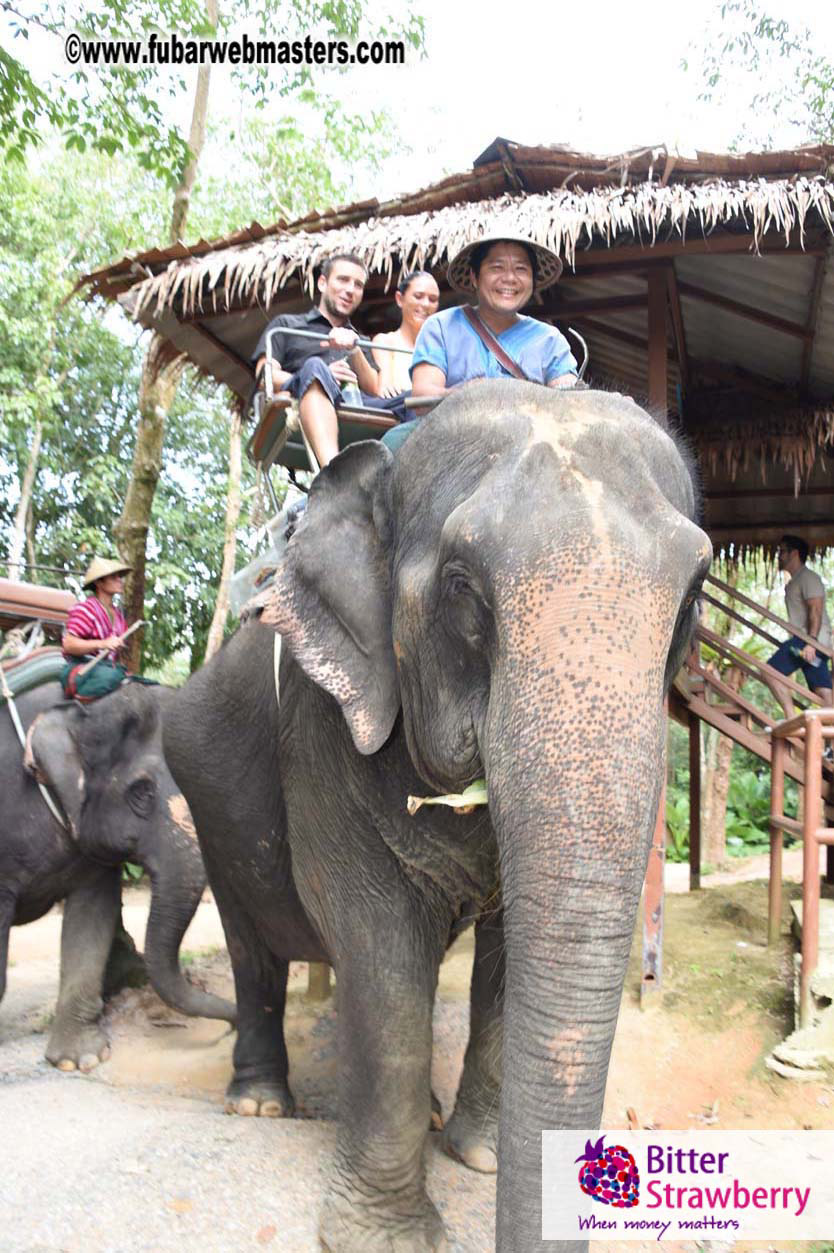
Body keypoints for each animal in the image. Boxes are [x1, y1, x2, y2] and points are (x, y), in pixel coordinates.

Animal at [162, 381, 711, 1253]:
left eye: (693, 596)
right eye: (462, 587)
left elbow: (508, 949)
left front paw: (479, 1157)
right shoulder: (317, 727)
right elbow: (376, 940)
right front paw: (386, 1236)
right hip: (203, 800)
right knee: (253, 950)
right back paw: (259, 1102)